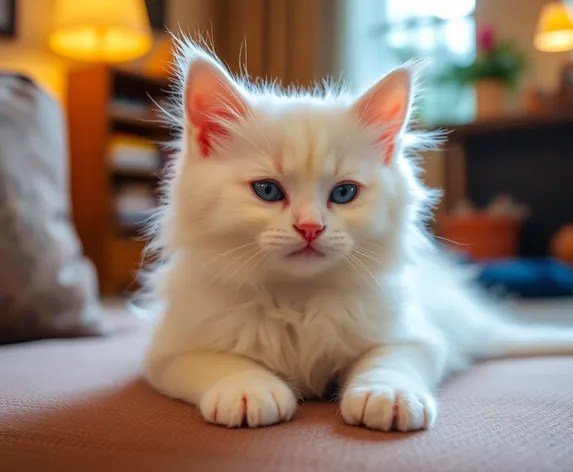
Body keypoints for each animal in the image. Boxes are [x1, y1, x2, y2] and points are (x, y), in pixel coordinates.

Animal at [142, 41, 572, 432]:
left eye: (344, 193)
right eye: (267, 190)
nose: (310, 228)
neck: (297, 300)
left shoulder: (414, 336)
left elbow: (388, 360)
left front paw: (388, 395)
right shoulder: (169, 351)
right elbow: (221, 363)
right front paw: (248, 389)